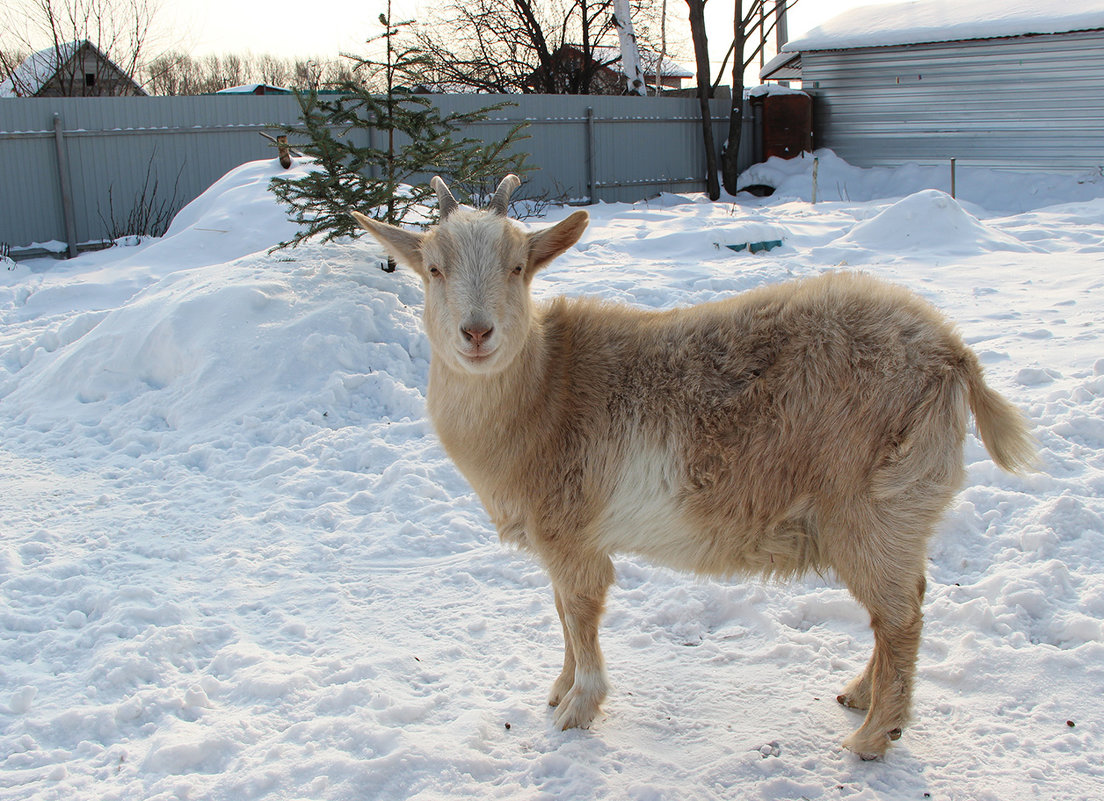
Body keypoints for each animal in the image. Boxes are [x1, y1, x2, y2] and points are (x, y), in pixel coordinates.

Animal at [351, 174, 1033, 759]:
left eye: (517, 267)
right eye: (433, 268)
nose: (476, 333)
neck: (545, 391)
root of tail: (954, 355)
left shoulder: (571, 534)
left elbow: (580, 611)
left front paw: (578, 709)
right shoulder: (556, 540)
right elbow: (561, 614)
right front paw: (559, 689)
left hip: (876, 506)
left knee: (900, 617)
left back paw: (873, 735)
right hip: (896, 514)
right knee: (903, 605)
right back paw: (860, 696)